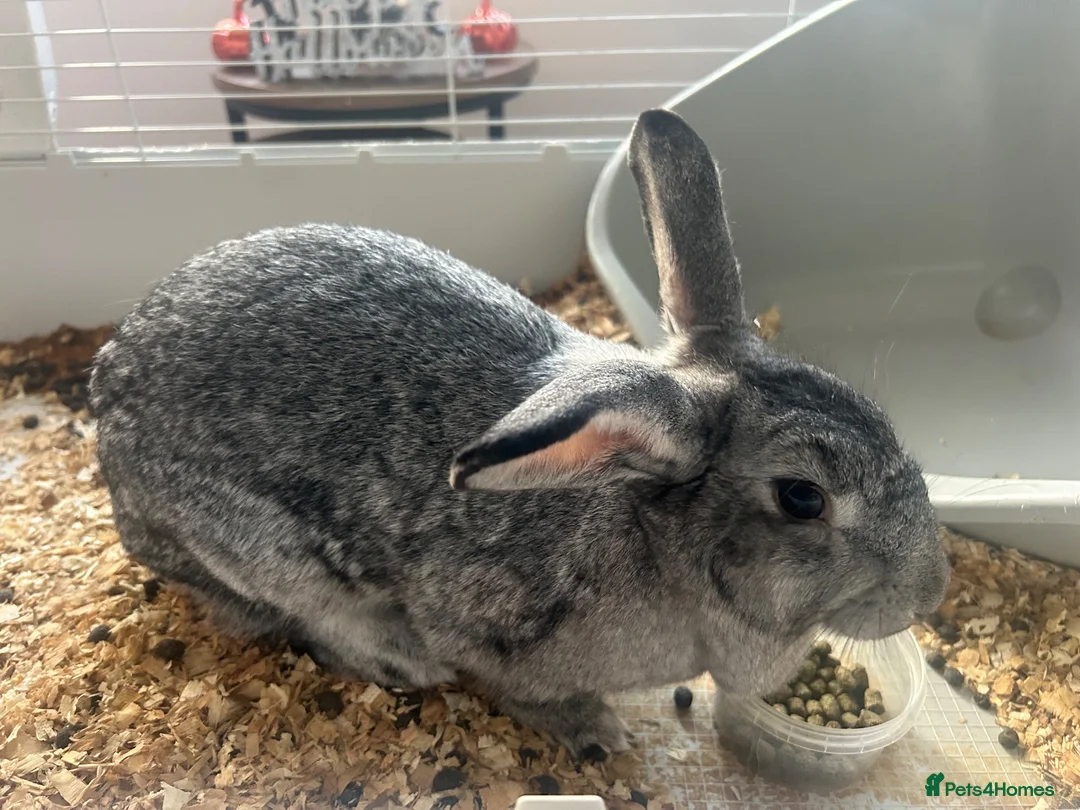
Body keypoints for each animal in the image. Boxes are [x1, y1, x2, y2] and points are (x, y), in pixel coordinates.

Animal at [89, 108, 949, 760]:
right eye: (803, 497)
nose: (930, 590)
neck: (653, 536)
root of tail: (107, 414)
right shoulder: (486, 628)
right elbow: (524, 690)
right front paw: (599, 734)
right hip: (260, 552)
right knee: (304, 615)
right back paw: (398, 657)